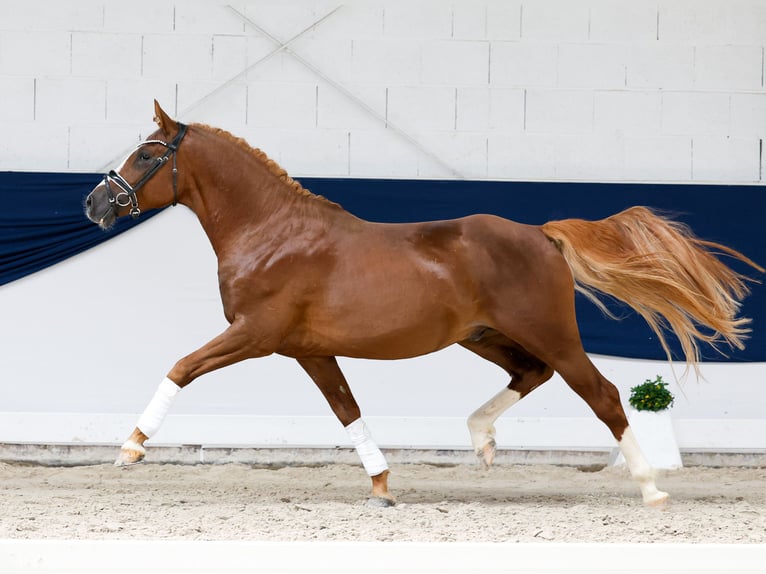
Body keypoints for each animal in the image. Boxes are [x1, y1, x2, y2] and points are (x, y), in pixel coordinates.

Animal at [85, 101, 762, 506]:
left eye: (147, 154)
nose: (95, 204)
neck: (273, 233)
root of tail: (541, 234)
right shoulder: (307, 351)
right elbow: (347, 411)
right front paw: (383, 485)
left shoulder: (255, 334)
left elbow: (180, 367)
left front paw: (129, 449)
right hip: (485, 336)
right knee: (531, 374)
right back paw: (481, 440)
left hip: (550, 332)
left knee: (602, 394)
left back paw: (651, 489)